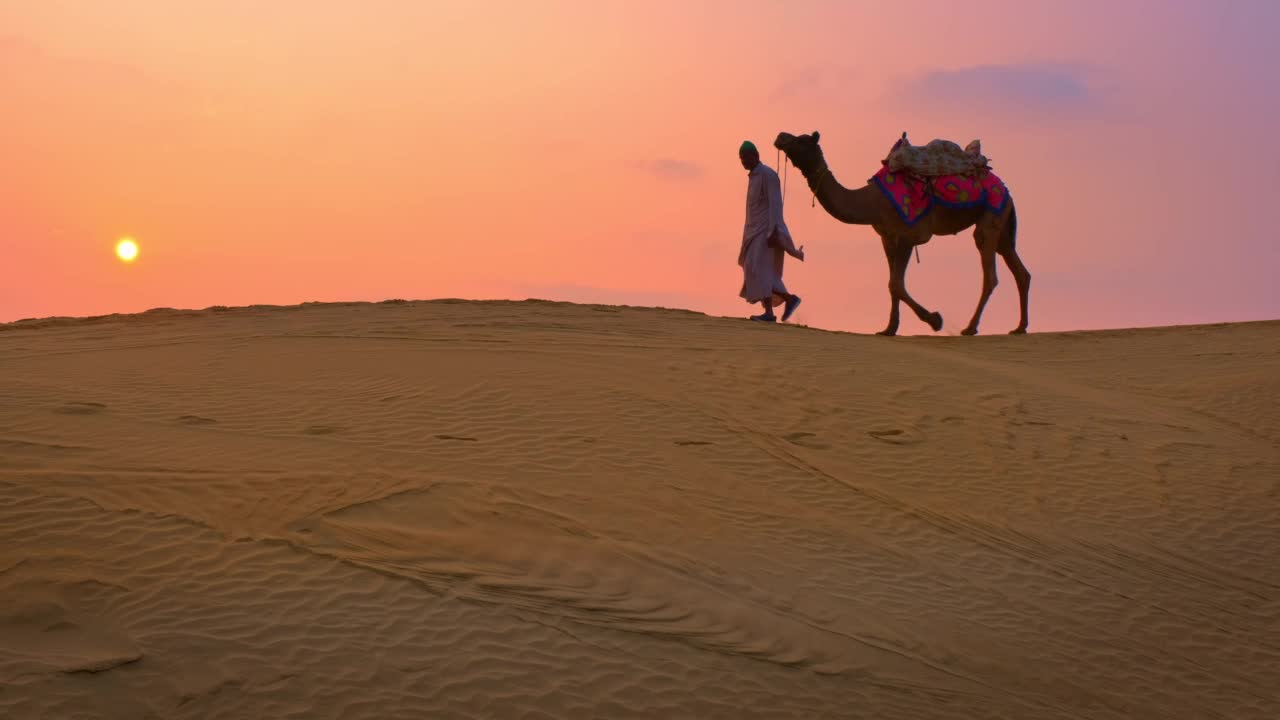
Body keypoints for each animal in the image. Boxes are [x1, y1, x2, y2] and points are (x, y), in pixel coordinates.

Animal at [768, 131, 1029, 333]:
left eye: (802, 140)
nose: (780, 136)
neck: (871, 202)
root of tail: (1007, 191)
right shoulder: (887, 238)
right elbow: (892, 283)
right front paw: (889, 329)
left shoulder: (908, 236)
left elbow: (896, 283)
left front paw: (935, 320)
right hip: (1002, 226)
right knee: (1019, 270)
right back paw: (1019, 327)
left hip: (991, 215)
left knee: (990, 273)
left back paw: (970, 328)